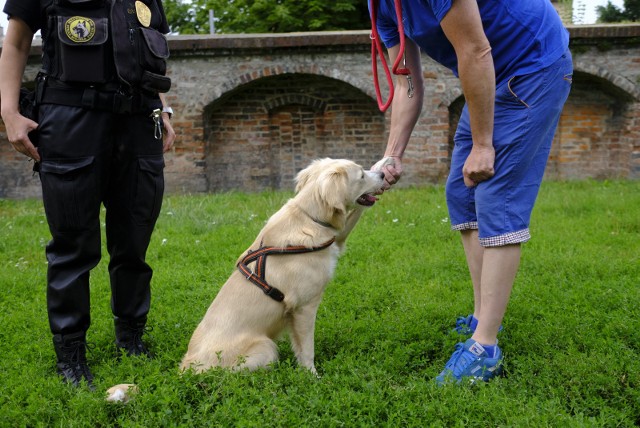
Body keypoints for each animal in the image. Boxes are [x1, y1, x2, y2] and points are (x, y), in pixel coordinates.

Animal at [178, 157, 382, 374]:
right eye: (361, 175)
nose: (383, 175)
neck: (310, 218)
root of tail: (187, 368)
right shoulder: (304, 307)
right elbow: (307, 350)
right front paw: (312, 375)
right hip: (266, 347)